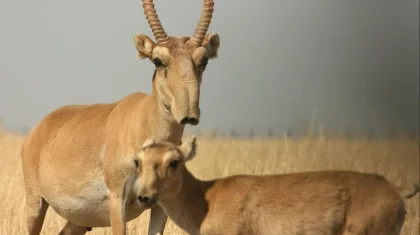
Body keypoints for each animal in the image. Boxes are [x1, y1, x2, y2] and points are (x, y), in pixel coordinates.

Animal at [20, 0, 220, 234]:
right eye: (157, 60)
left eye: (204, 60)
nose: (188, 113)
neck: (143, 120)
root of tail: (38, 130)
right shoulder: (118, 199)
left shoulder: (160, 206)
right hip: (35, 204)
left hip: (79, 221)